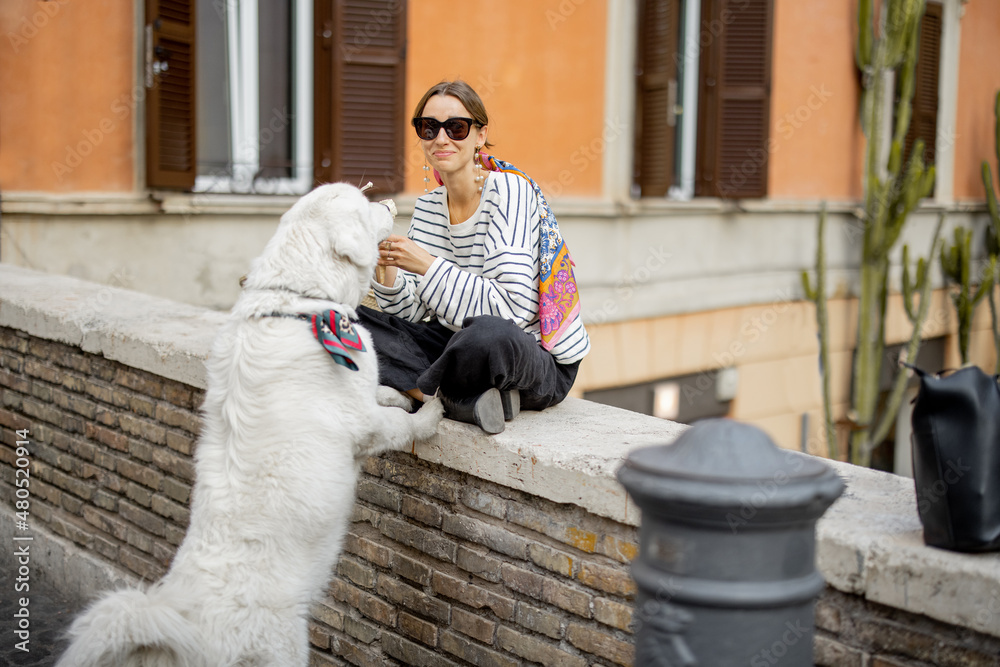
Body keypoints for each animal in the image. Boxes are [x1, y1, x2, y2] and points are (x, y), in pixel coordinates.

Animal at [56, 184, 444, 667]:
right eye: (364, 202)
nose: (390, 201)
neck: (295, 299)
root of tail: (186, 628)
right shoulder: (362, 425)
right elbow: (399, 424)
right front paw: (430, 412)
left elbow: (383, 395)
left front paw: (397, 394)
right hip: (283, 644)